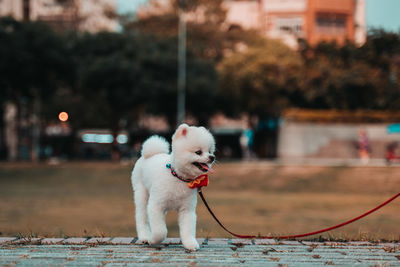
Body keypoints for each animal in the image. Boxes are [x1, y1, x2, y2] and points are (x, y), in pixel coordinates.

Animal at [131, 123, 216, 251]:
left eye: (210, 151)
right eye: (198, 152)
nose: (212, 157)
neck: (178, 177)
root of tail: (149, 154)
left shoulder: (186, 210)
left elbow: (188, 229)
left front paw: (190, 244)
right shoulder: (156, 206)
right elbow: (160, 231)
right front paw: (153, 240)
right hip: (142, 194)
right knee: (141, 217)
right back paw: (145, 237)